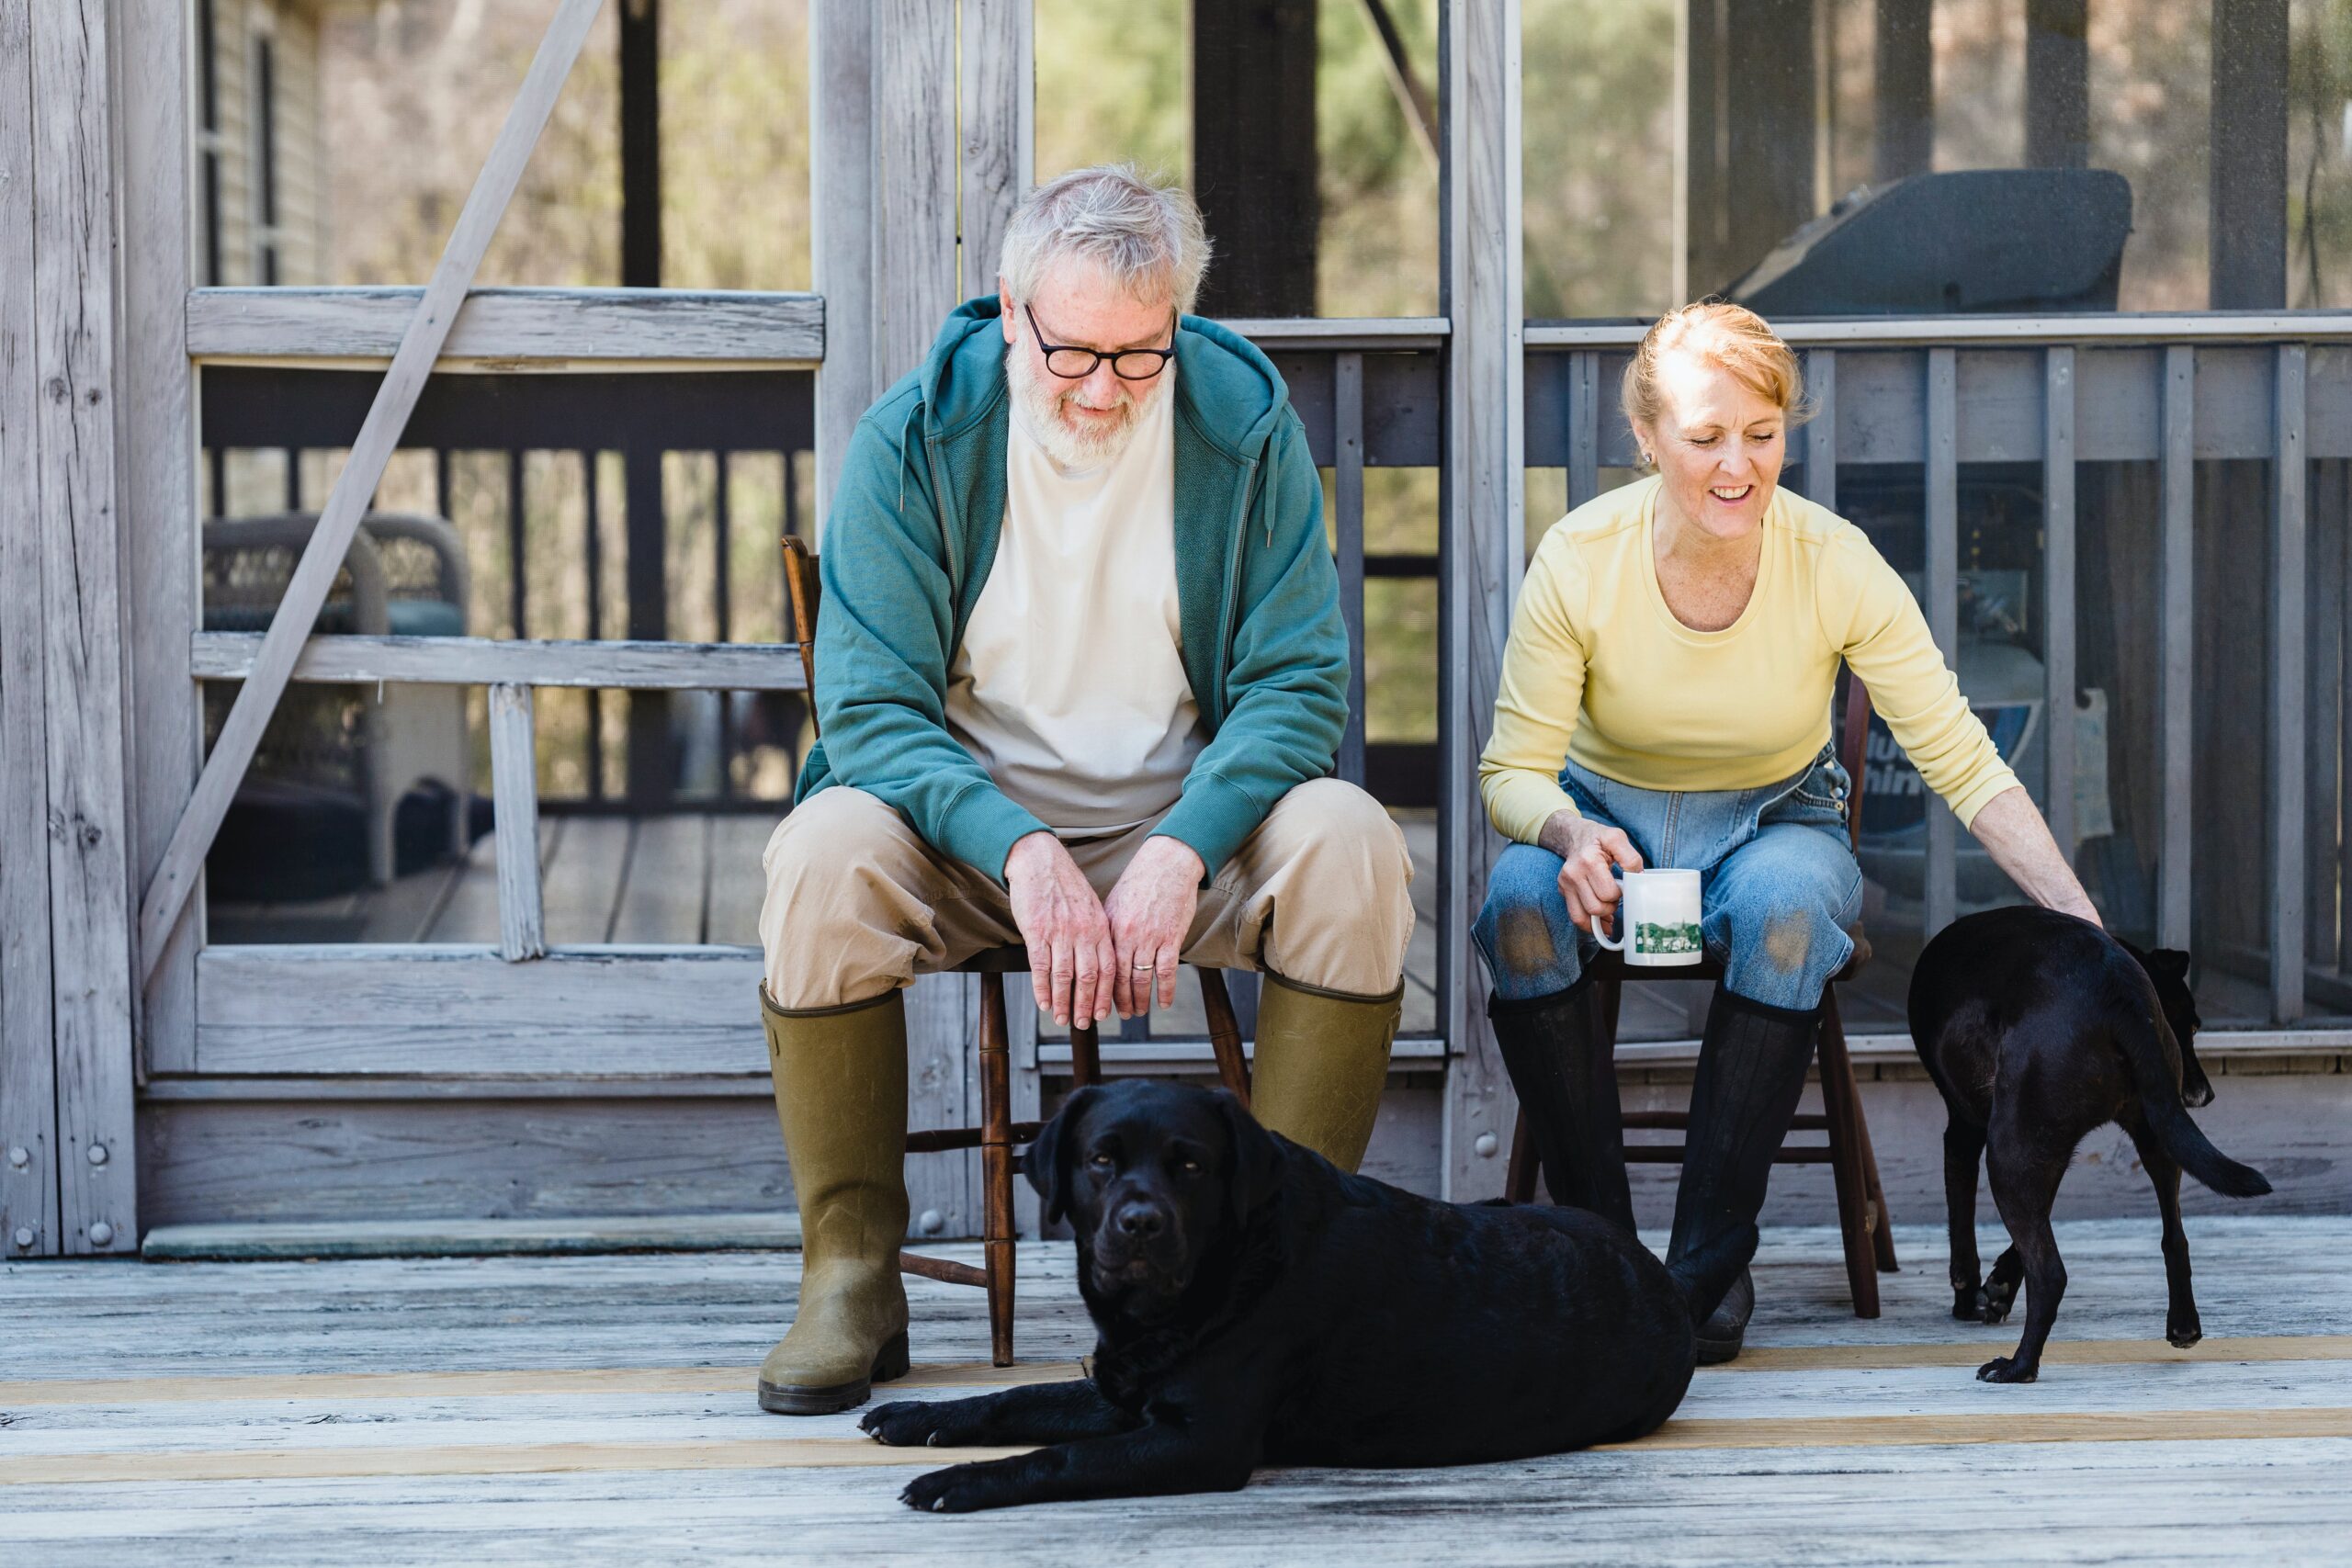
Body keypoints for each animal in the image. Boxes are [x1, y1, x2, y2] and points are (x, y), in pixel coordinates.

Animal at [855, 1086, 1702, 1514]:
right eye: (1100, 1160)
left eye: (1190, 1164)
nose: (1140, 1222)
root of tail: (1663, 1278)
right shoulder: (1123, 1391)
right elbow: (1017, 1396)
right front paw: (922, 1416)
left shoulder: (1201, 1437)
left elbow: (1058, 1455)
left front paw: (959, 1479)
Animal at [1909, 907, 2277, 1382]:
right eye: (2191, 1028)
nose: (2205, 1095)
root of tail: (2121, 995)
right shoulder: (2047, 1149)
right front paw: (2000, 1285)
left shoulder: (1967, 1130)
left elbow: (1963, 1232)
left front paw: (1970, 1296)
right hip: (2156, 1136)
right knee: (2174, 1237)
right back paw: (2183, 1325)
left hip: (2008, 1148)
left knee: (2050, 1273)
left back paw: (2018, 1366)